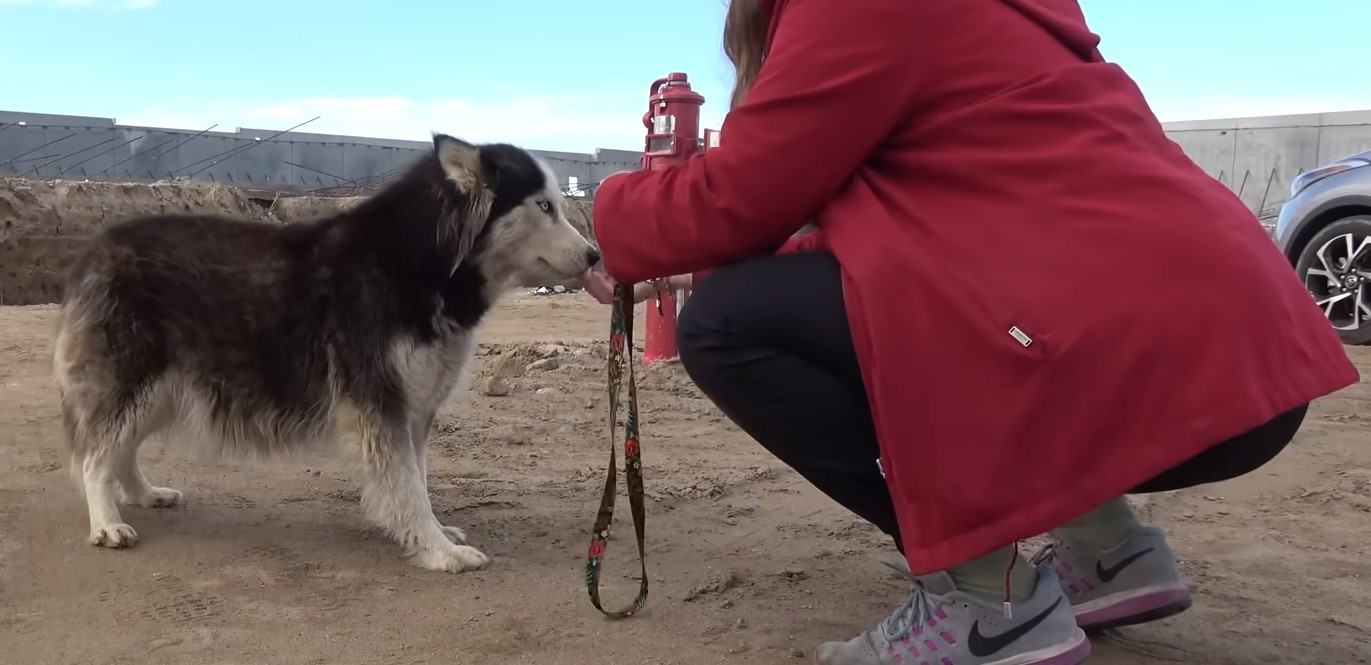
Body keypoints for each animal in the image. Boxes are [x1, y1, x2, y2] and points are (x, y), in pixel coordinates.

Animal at [53, 133, 600, 570]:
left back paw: (145, 494)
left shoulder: (414, 408)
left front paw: (437, 533)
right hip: (134, 382)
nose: (596, 254)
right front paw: (437, 550)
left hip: (162, 389)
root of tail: (94, 248)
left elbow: (419, 481)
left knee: (120, 448)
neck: (421, 263)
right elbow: (408, 486)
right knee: (95, 457)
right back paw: (106, 522)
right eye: (544, 206)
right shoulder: (380, 402)